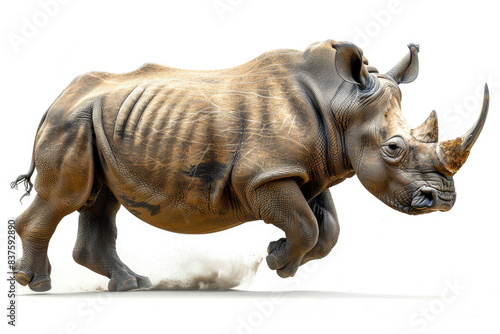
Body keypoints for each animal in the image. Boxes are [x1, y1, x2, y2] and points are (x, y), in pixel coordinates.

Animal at [11, 39, 488, 292]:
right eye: (393, 148)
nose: (443, 199)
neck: (342, 105)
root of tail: (57, 98)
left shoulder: (308, 168)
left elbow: (327, 228)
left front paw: (282, 261)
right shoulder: (263, 175)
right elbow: (306, 223)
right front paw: (278, 261)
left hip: (99, 124)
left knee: (100, 200)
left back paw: (132, 284)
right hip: (72, 124)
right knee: (65, 197)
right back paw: (37, 284)